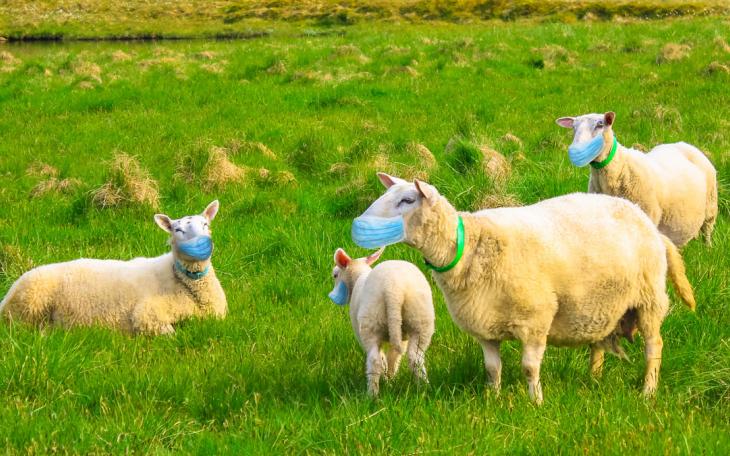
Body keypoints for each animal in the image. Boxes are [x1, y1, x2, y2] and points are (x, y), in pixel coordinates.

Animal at [0, 201, 227, 335]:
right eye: (177, 230)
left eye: (205, 224)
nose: (200, 244)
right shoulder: (147, 314)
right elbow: (169, 333)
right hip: (28, 305)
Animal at [328, 247, 434, 397]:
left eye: (335, 275)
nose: (332, 296)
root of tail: (394, 289)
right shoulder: (402, 338)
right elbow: (393, 358)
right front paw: (390, 379)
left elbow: (383, 358)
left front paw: (387, 380)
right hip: (420, 320)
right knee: (416, 358)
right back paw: (424, 389)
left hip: (371, 322)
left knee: (374, 360)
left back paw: (372, 394)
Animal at [351, 172, 696, 403]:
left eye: (407, 200)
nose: (358, 225)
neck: (470, 246)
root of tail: (650, 225)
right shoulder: (485, 326)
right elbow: (492, 368)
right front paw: (492, 398)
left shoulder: (535, 320)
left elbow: (530, 368)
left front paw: (536, 402)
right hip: (603, 304)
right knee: (599, 343)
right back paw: (593, 378)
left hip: (648, 299)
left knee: (654, 346)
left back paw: (648, 391)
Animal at [556, 111, 718, 247]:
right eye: (574, 128)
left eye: (600, 124)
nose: (575, 151)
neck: (619, 169)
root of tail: (684, 144)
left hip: (711, 205)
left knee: (707, 230)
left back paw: (708, 248)